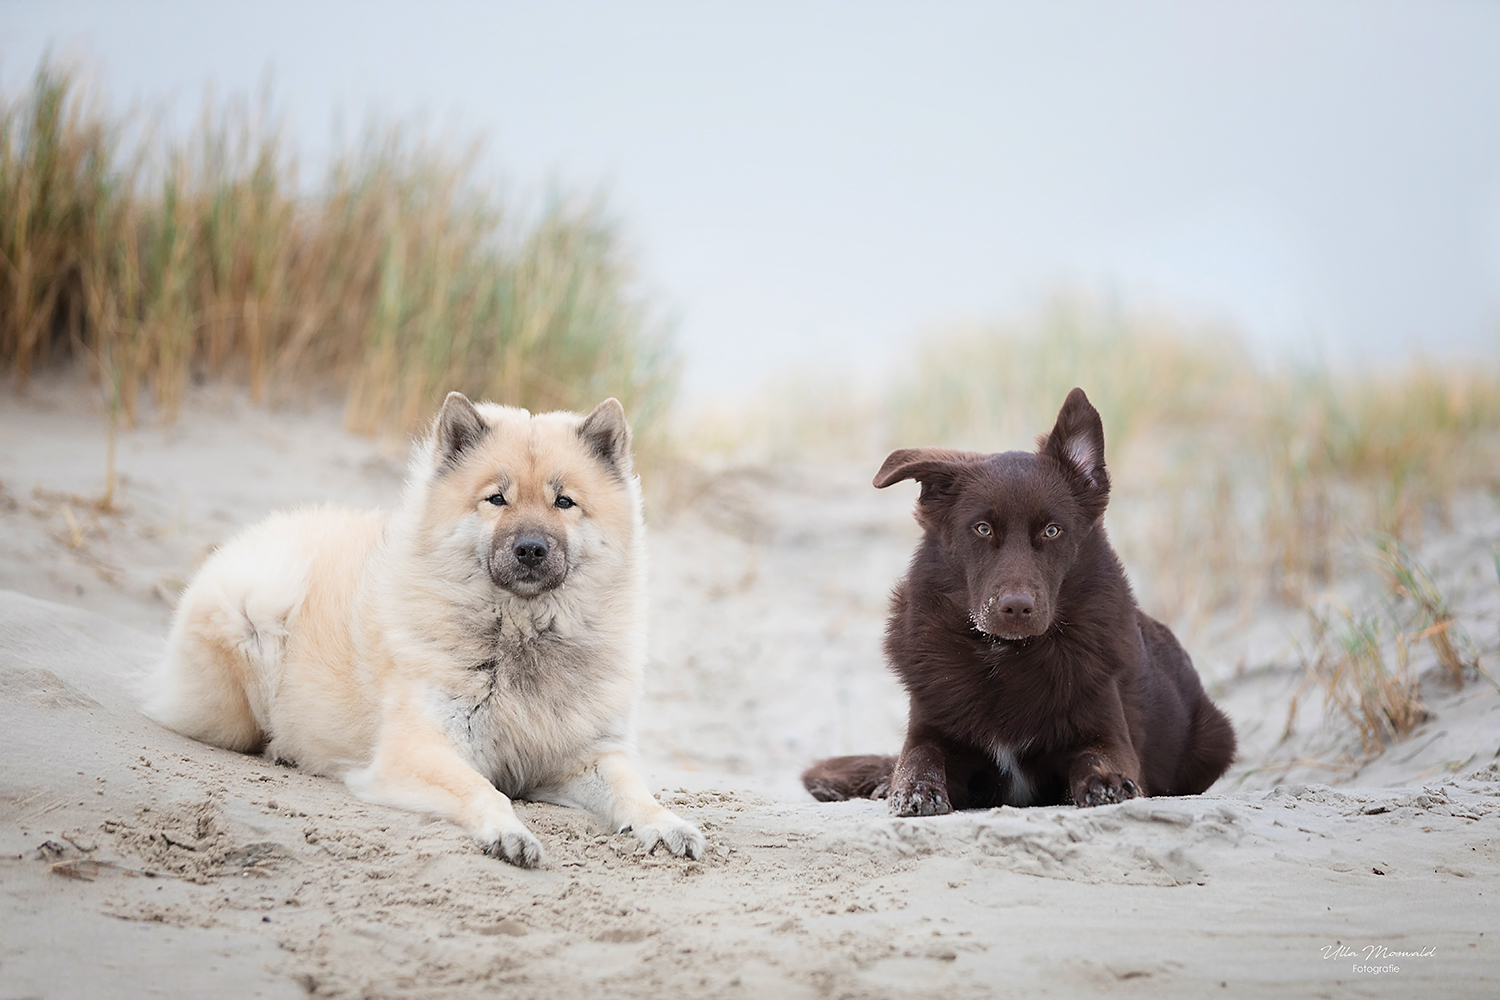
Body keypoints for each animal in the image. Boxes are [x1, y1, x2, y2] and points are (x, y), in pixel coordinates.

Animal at [143, 392, 699, 869]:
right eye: (496, 499)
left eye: (564, 502)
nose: (531, 549)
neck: (520, 636)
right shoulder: (420, 750)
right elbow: (484, 790)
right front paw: (509, 832)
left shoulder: (586, 756)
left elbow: (634, 791)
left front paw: (666, 824)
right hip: (260, 604)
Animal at [804, 386, 1236, 815]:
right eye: (982, 528)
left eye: (1052, 530)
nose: (1016, 608)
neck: (1005, 654)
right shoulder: (929, 729)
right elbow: (917, 757)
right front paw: (913, 789)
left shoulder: (1108, 733)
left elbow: (1099, 756)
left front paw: (1105, 783)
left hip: (1214, 739)